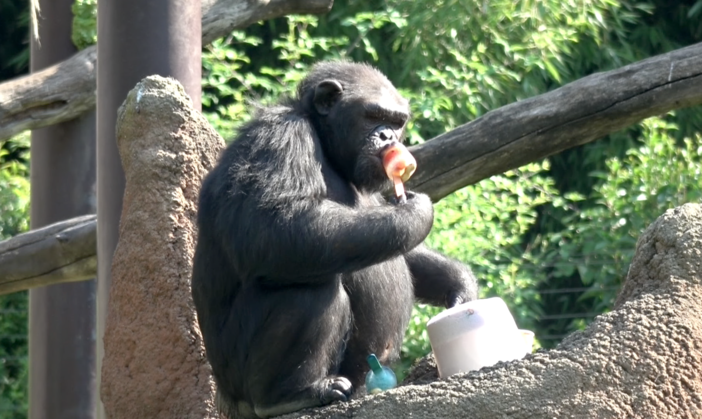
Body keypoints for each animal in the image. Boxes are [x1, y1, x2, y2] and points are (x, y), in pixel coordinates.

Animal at [191, 63, 478, 419]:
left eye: (397, 121)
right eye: (373, 115)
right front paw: (416, 211)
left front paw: (460, 286)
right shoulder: (279, 137)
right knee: (308, 289)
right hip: (238, 380)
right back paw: (288, 395)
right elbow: (270, 227)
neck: (327, 145)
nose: (389, 136)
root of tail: (226, 401)